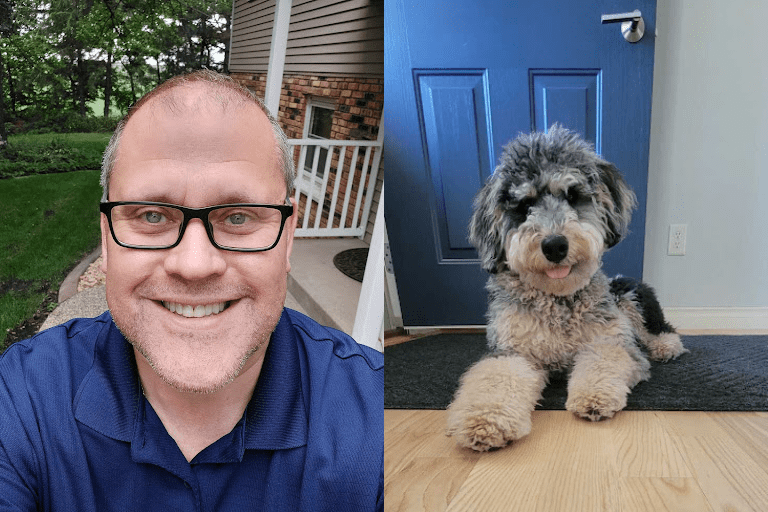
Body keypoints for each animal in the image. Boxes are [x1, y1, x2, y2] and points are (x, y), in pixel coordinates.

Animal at [448, 125, 688, 452]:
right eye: (524, 206)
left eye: (573, 196)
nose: (554, 245)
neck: (557, 301)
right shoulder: (512, 352)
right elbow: (497, 378)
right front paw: (484, 422)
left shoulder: (609, 342)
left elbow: (604, 361)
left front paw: (594, 397)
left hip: (629, 293)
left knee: (660, 329)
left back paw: (665, 346)